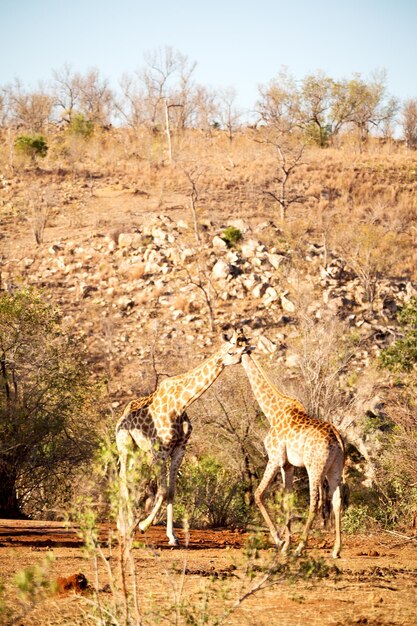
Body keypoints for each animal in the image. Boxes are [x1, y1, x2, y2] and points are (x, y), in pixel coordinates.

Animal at [115, 330, 249, 544]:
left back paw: (125, 524)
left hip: (139, 453)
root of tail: (122, 416)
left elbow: (171, 492)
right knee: (123, 480)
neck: (181, 404)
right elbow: (162, 491)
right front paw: (143, 525)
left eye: (245, 343)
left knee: (128, 480)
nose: (247, 351)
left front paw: (172, 536)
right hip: (124, 447)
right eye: (231, 349)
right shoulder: (160, 450)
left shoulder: (179, 450)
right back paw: (124, 526)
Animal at [240, 348, 344, 560]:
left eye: (230, 347)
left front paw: (280, 541)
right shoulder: (288, 465)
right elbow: (287, 501)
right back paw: (336, 550)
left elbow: (259, 493)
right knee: (337, 501)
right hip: (335, 469)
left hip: (314, 468)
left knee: (316, 502)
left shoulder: (275, 458)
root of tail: (337, 439)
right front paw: (286, 543)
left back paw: (300, 548)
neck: (273, 412)